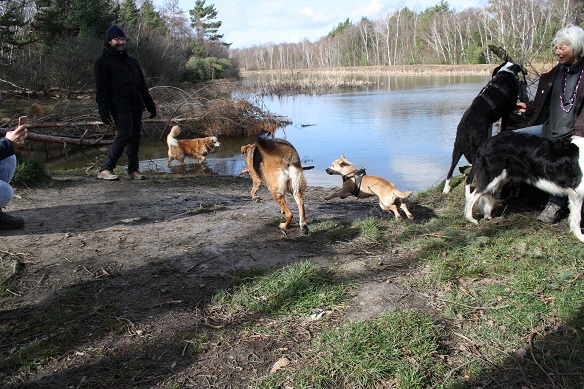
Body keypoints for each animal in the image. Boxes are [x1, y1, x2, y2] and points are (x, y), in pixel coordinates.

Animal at [442, 61, 524, 192]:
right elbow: (503, 127)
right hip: (475, 152)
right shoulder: (506, 113)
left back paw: (446, 189)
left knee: (450, 172)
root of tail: (466, 129)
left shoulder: (489, 124)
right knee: (468, 178)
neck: (506, 73)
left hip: (457, 149)